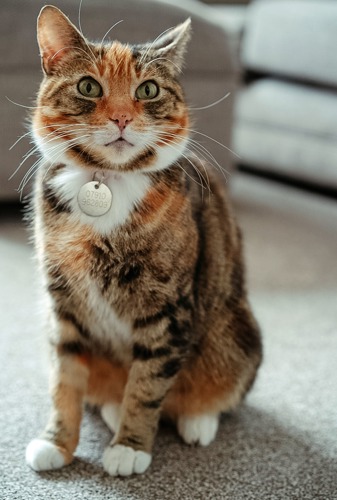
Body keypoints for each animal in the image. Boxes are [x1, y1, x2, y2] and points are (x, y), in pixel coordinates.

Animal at [25, 4, 262, 476]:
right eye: (88, 85)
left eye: (148, 89)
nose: (121, 118)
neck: (106, 183)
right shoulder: (63, 308)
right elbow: (65, 379)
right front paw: (56, 443)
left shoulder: (166, 311)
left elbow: (148, 384)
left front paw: (130, 448)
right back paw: (114, 408)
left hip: (236, 335)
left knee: (211, 394)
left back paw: (197, 422)